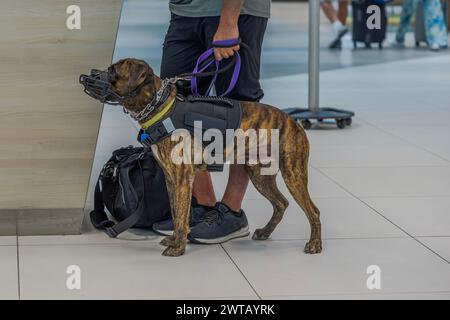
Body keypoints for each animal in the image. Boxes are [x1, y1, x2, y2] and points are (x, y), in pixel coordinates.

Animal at [104, 58, 322, 256]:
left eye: (113, 71)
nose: (97, 73)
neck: (160, 108)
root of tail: (293, 121)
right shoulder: (171, 180)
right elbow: (176, 213)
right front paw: (174, 239)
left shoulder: (182, 180)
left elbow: (181, 217)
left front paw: (178, 248)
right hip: (260, 177)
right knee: (281, 203)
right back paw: (265, 232)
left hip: (293, 174)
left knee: (313, 210)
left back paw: (314, 244)